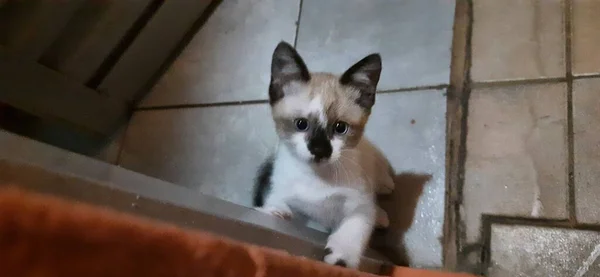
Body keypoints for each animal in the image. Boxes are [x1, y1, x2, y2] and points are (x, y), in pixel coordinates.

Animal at [252, 41, 394, 268]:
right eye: (301, 124)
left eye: (340, 128)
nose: (319, 150)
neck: (317, 177)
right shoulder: (285, 198)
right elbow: (275, 208)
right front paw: (274, 213)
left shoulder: (358, 204)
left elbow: (354, 226)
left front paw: (341, 258)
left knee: (380, 187)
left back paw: (384, 202)